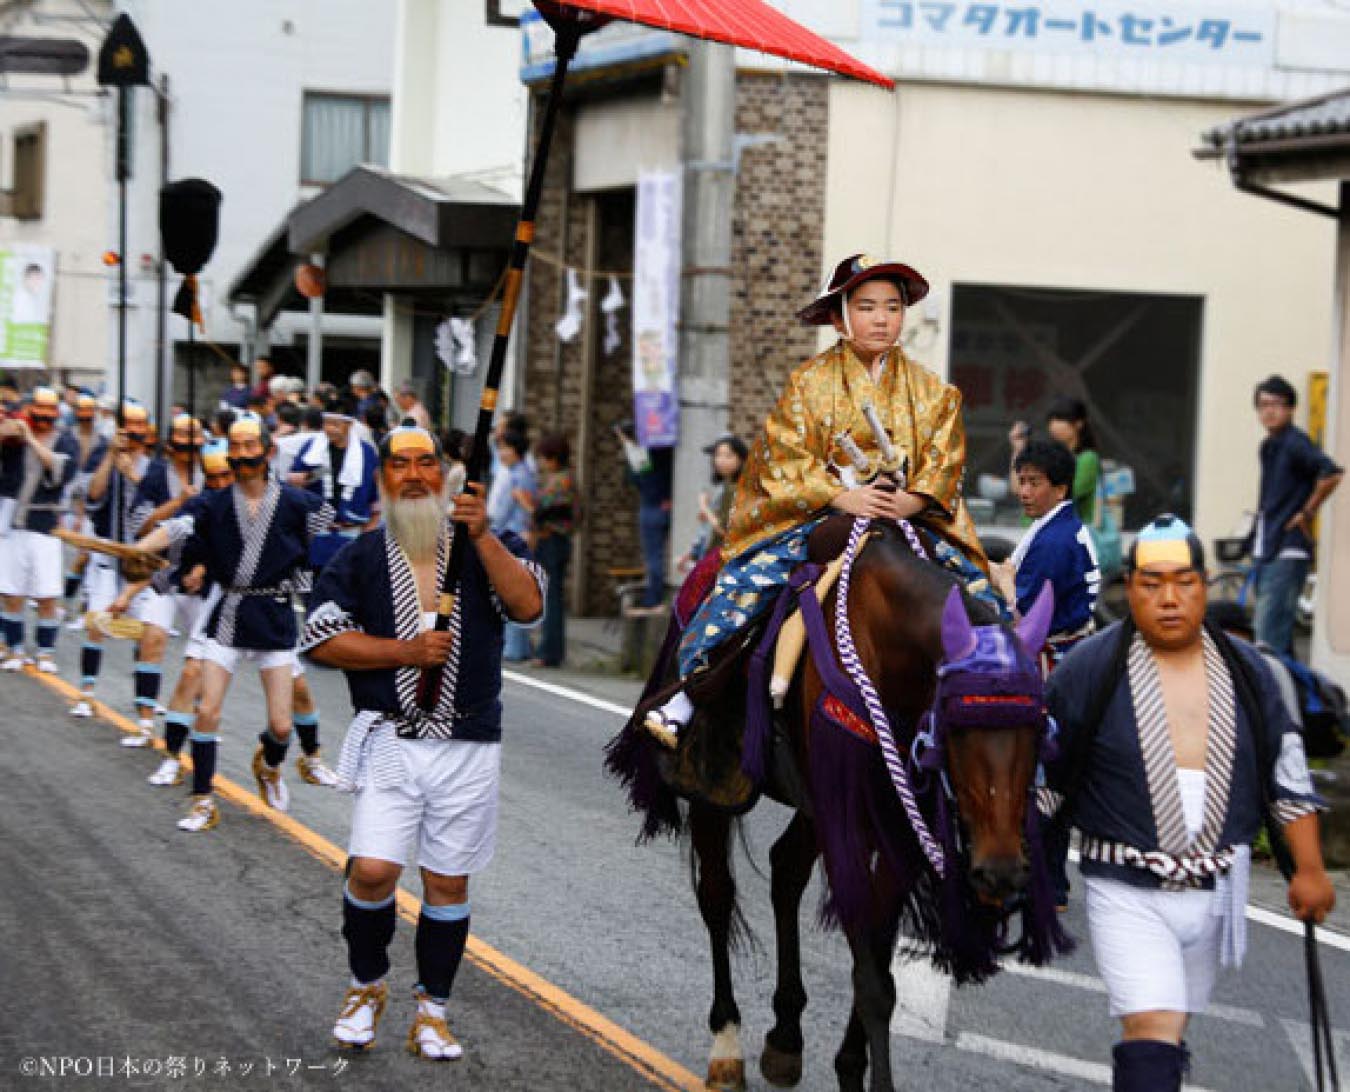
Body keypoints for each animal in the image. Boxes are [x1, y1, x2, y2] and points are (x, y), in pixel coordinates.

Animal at [607, 521, 1069, 1090]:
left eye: (1040, 731)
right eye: (957, 729)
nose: (1001, 871)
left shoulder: (895, 823)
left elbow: (878, 949)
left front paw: (850, 1064)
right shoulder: (845, 812)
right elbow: (871, 974)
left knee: (785, 870)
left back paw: (785, 1037)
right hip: (715, 783)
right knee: (717, 895)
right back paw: (728, 1045)